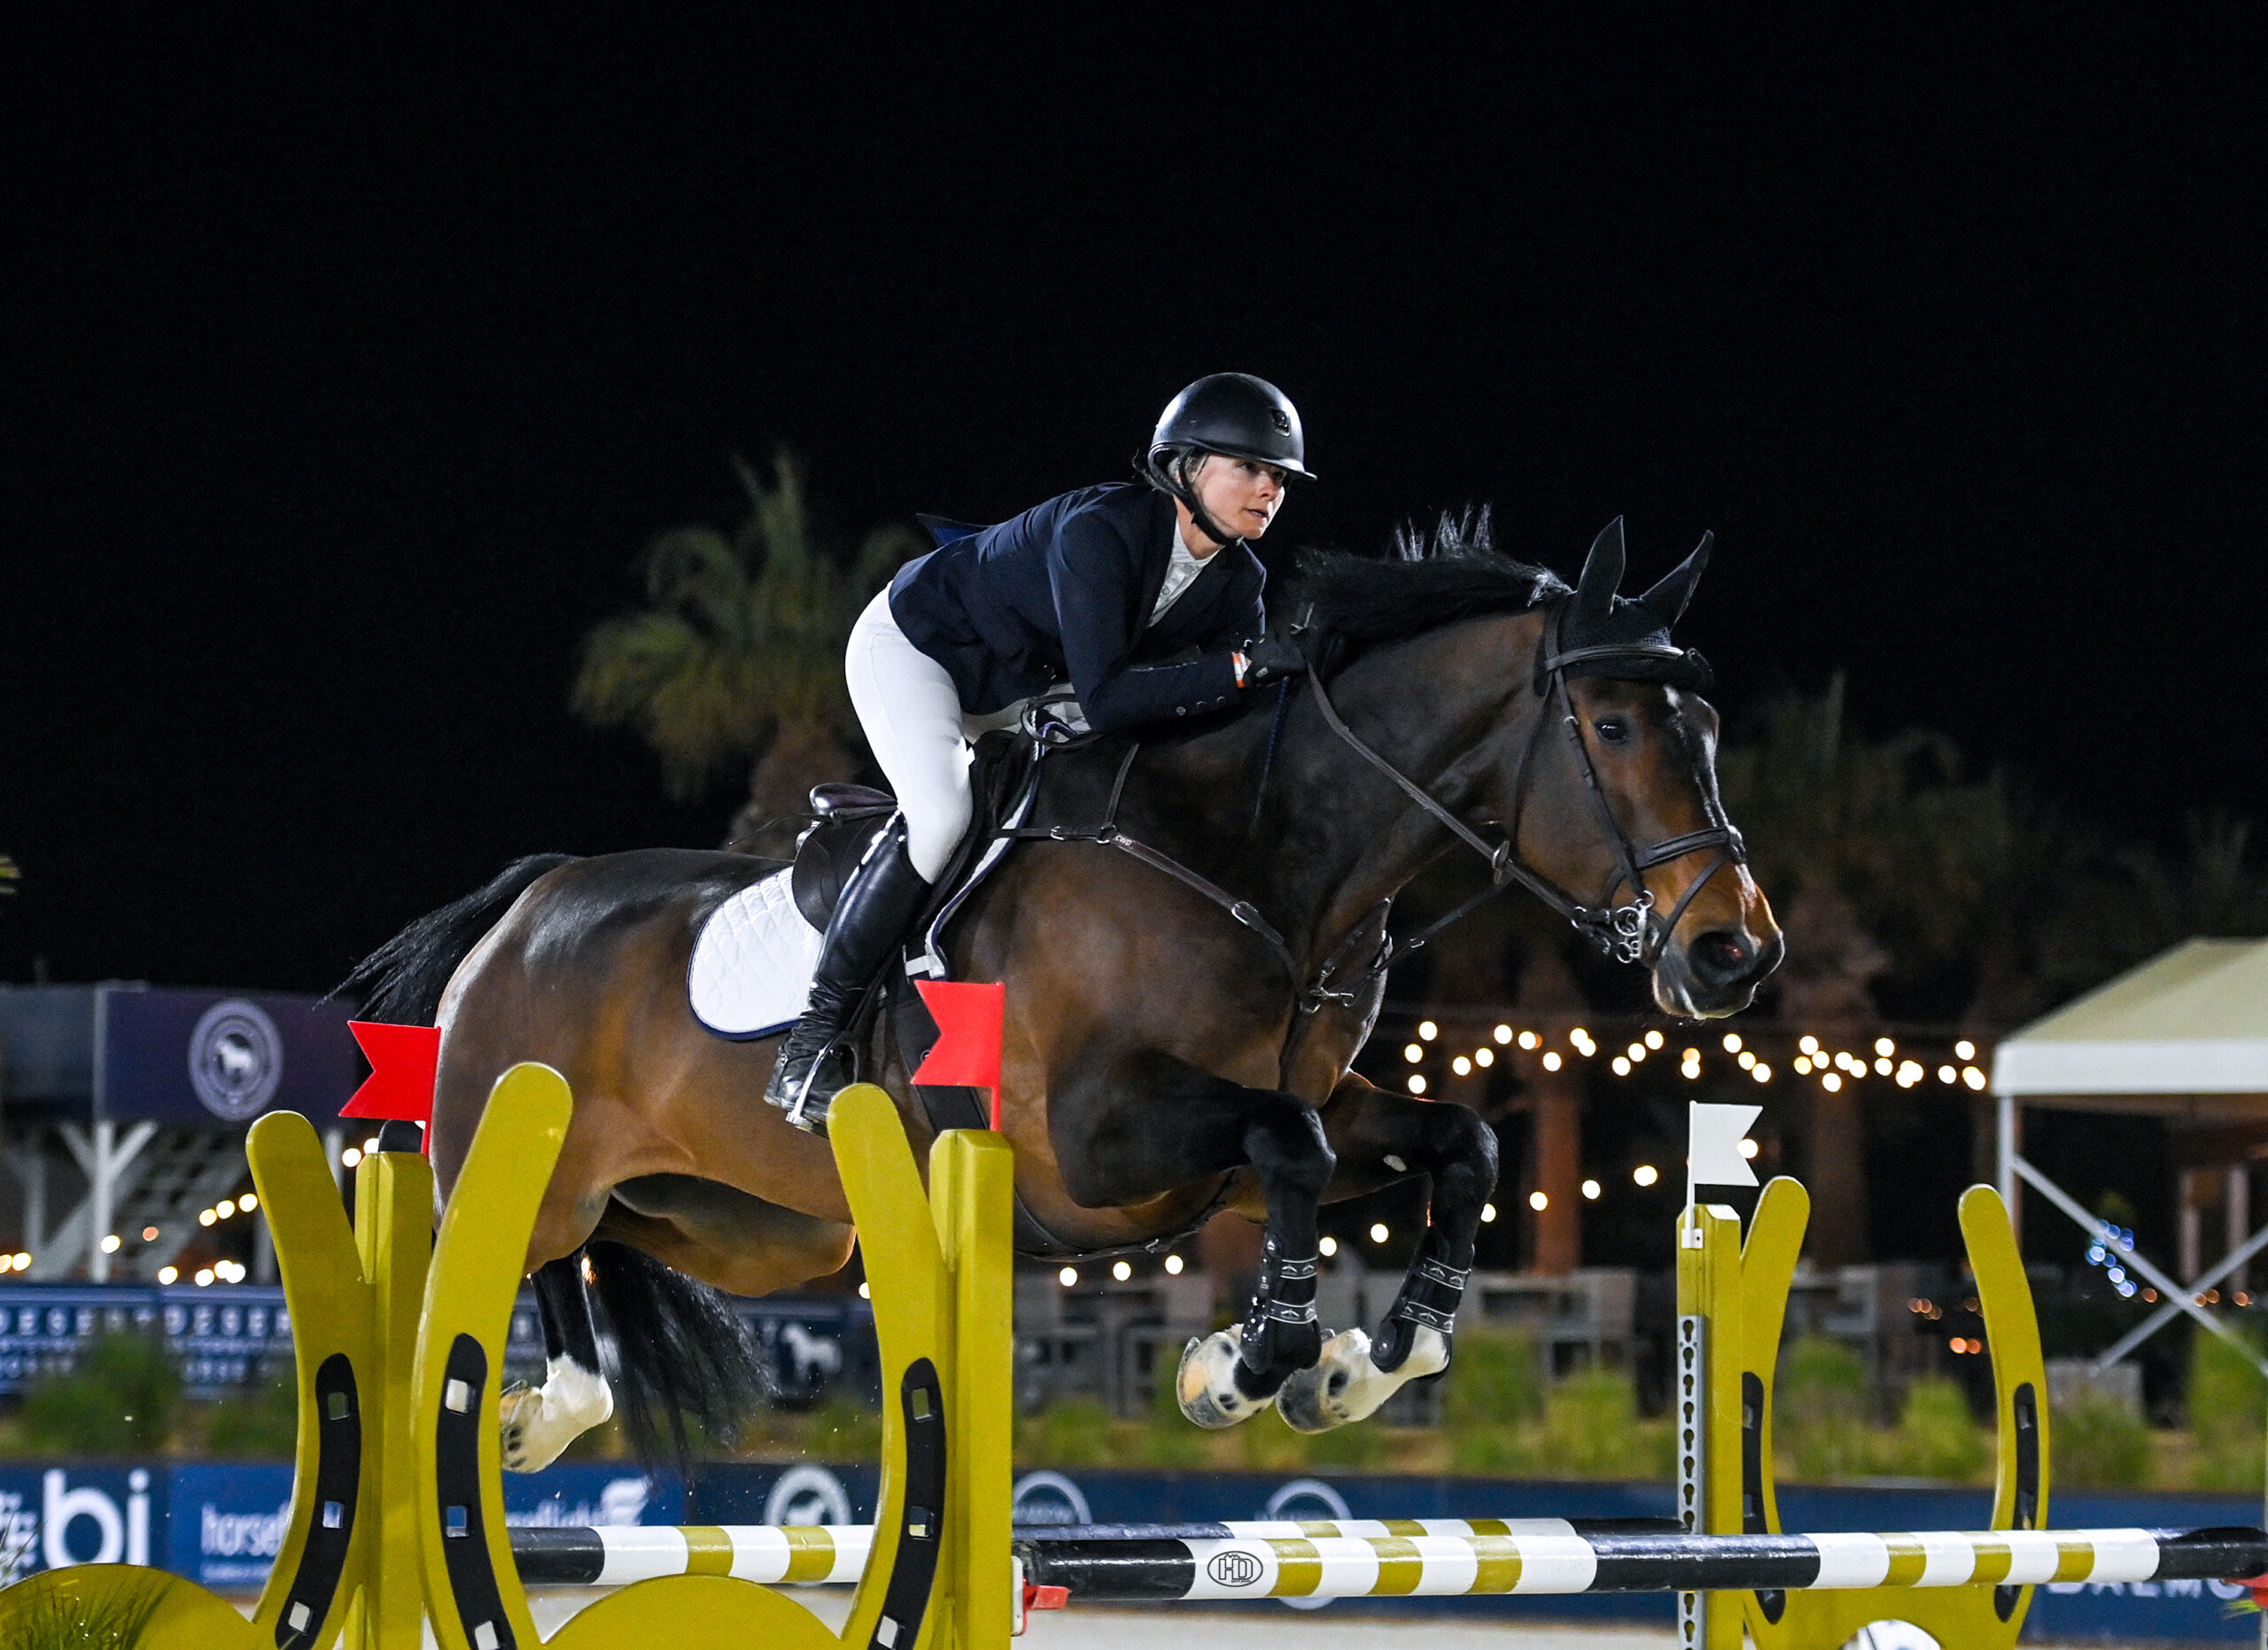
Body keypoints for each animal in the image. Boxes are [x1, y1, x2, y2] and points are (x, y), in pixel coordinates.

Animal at [346, 514, 1782, 1471]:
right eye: (1612, 727)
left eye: (1709, 731)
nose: (1736, 953)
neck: (1258, 863)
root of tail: (525, 905)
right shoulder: (1096, 1143)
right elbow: (1294, 1146)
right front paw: (1240, 1367)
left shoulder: (1269, 1134)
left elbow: (1457, 1140)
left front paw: (1365, 1365)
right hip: (517, 1154)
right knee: (521, 1252)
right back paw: (540, 1406)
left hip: (755, 1228)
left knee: (598, 1253)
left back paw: (554, 1404)